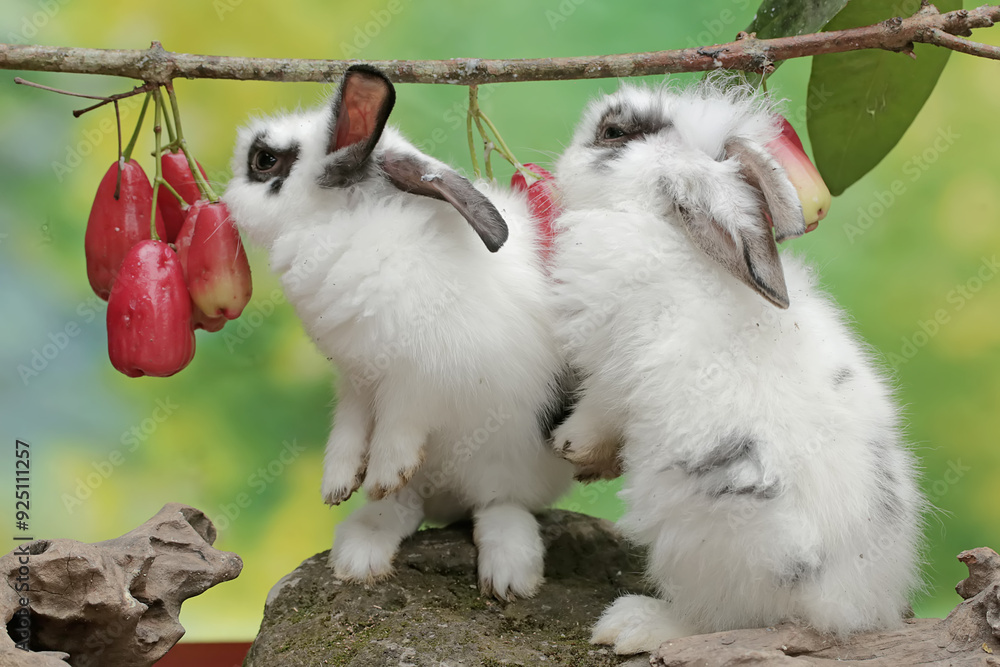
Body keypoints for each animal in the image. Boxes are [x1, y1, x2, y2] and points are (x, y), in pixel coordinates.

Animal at [223, 65, 573, 600]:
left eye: (264, 160)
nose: (223, 198)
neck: (342, 225)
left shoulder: (423, 375)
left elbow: (400, 423)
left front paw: (384, 470)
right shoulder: (355, 378)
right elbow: (348, 430)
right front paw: (337, 486)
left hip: (511, 461)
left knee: (499, 503)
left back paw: (510, 575)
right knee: (410, 506)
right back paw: (361, 549)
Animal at [547, 80, 924, 653]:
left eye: (612, 133)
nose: (565, 155)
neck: (665, 229)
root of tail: (844, 608)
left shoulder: (611, 367)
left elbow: (597, 412)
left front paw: (569, 445)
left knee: (723, 618)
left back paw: (635, 624)